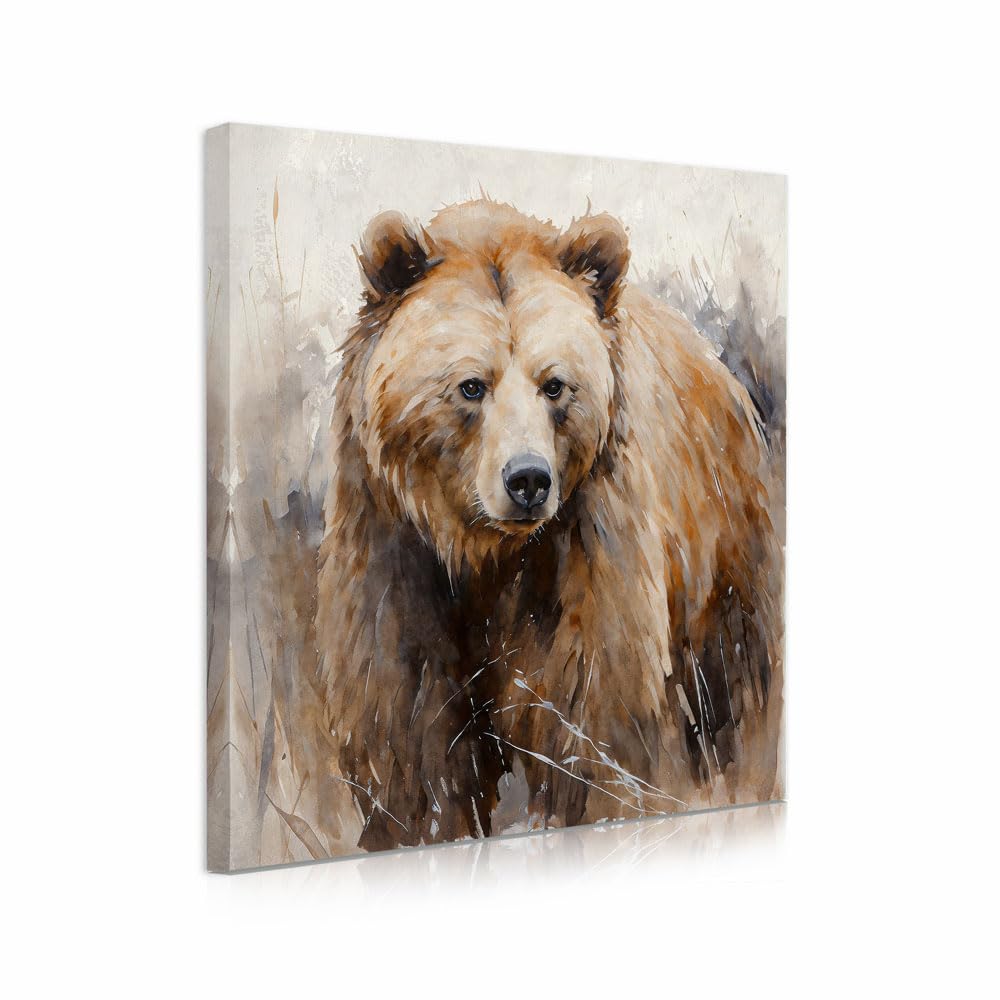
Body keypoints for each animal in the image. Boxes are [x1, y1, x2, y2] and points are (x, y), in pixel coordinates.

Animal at [314, 199, 783, 852]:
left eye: (555, 384)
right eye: (471, 385)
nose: (528, 480)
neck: (484, 552)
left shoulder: (586, 547)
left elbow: (591, 724)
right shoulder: (392, 549)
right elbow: (411, 740)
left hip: (723, 562)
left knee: (734, 692)